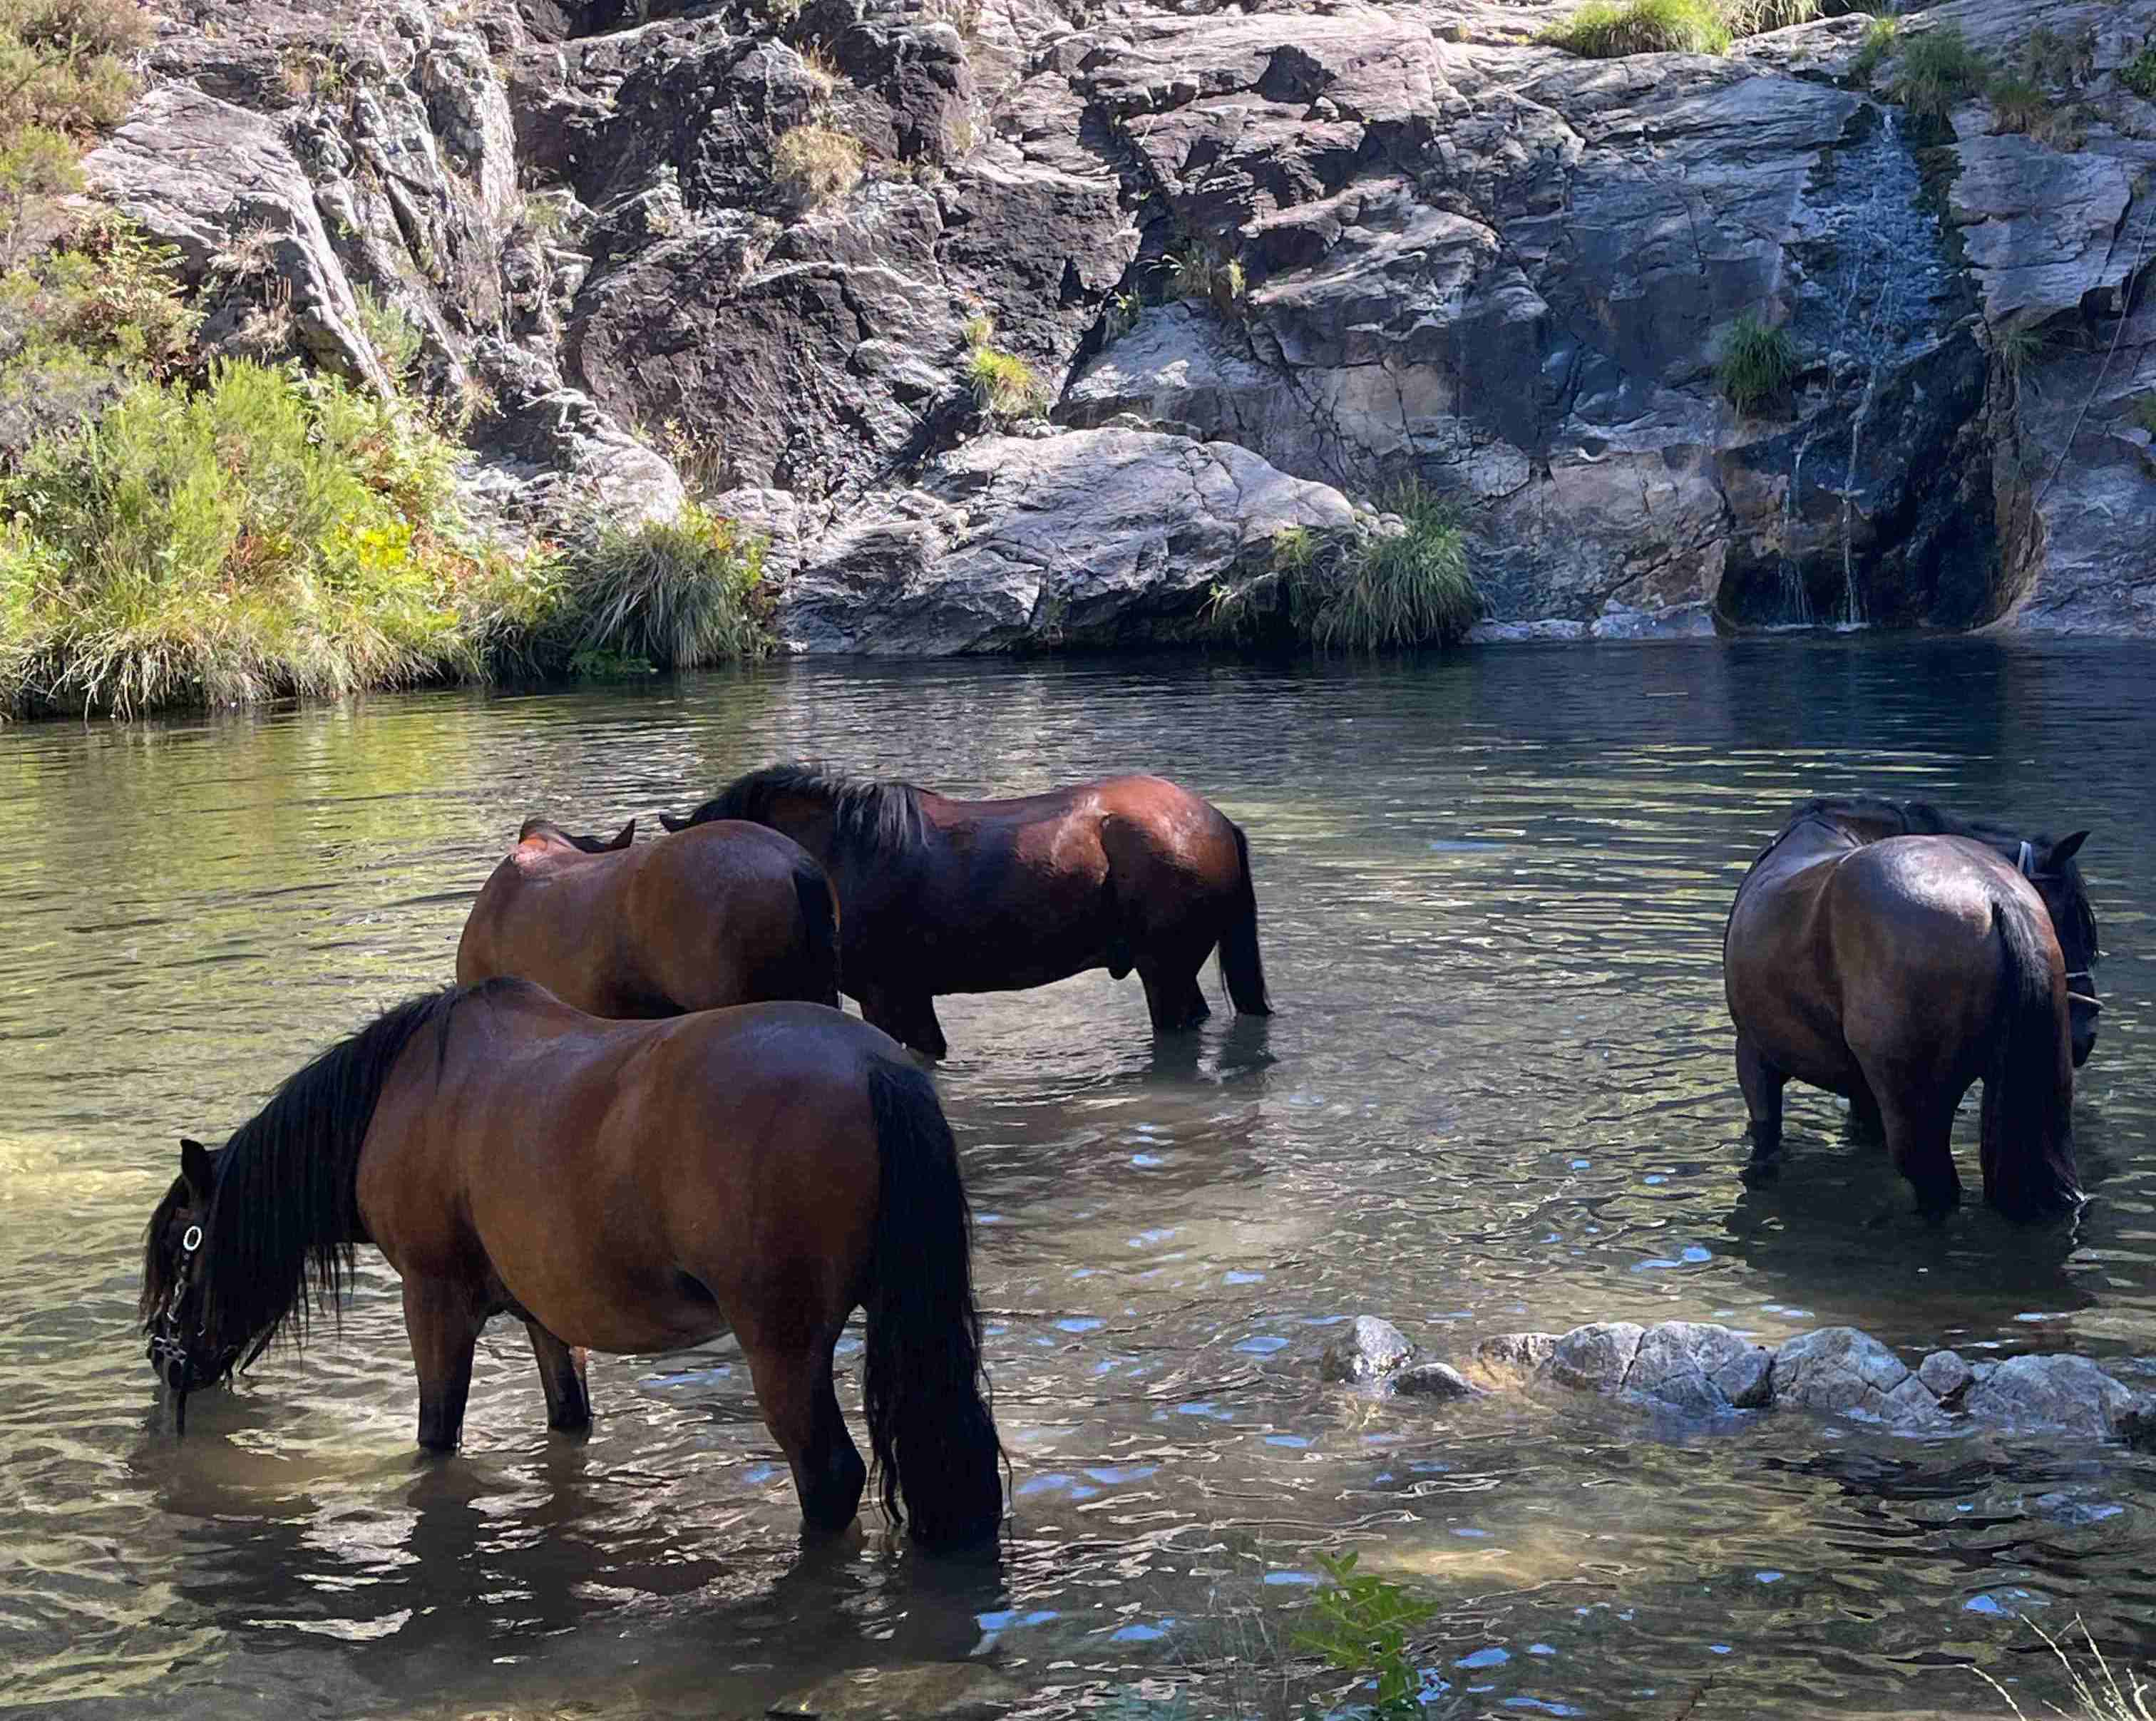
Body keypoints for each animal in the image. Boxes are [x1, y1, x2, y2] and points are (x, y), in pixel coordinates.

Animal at [137, 980, 1003, 1549]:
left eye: (184, 1243)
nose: (163, 1355)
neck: (399, 1093)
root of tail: (874, 1069)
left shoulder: (434, 1301)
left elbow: (436, 1437)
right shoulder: (546, 1317)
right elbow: (568, 1418)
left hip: (783, 1350)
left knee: (829, 1479)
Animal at [1723, 795, 2100, 1222]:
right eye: (2069, 915)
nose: (2086, 1034)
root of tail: (1994, 895)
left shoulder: (1754, 1059)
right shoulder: (1859, 1092)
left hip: (1914, 1117)